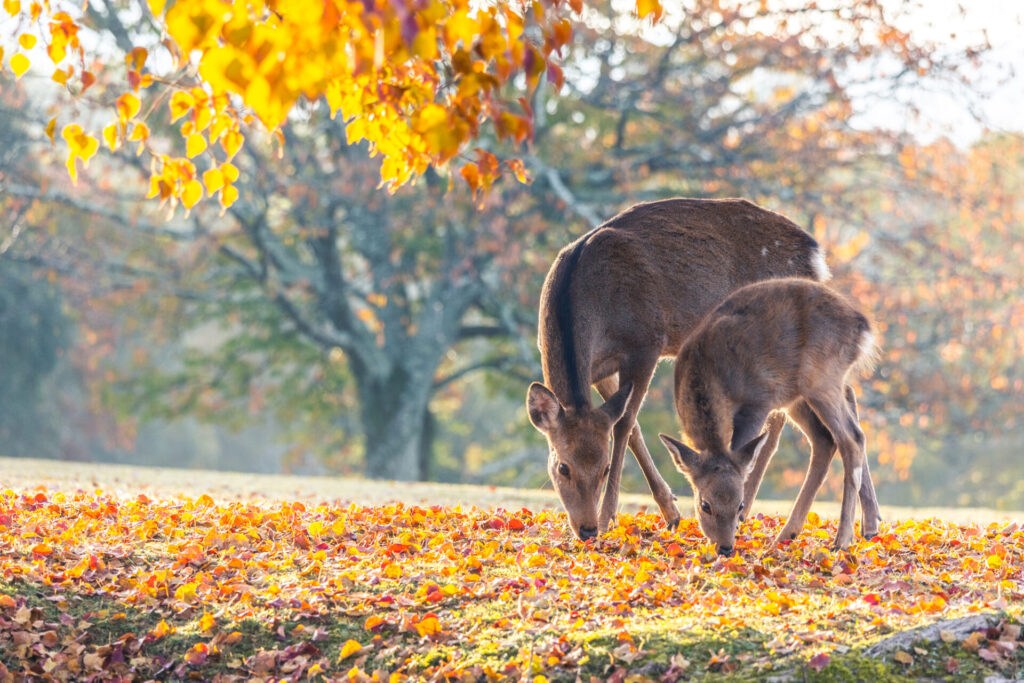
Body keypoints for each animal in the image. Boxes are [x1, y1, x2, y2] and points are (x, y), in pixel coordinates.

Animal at [524, 197, 827, 540]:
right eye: (562, 467)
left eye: (603, 468)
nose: (586, 529)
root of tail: (815, 258)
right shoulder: (603, 369)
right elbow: (631, 427)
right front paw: (671, 512)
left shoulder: (645, 342)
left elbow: (624, 424)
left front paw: (608, 518)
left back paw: (748, 510)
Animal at [659, 278, 884, 557]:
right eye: (705, 505)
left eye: (740, 504)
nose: (725, 548)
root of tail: (863, 329)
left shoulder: (758, 402)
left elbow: (744, 453)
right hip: (797, 395)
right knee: (825, 439)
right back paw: (787, 535)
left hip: (821, 377)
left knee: (851, 438)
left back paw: (841, 540)